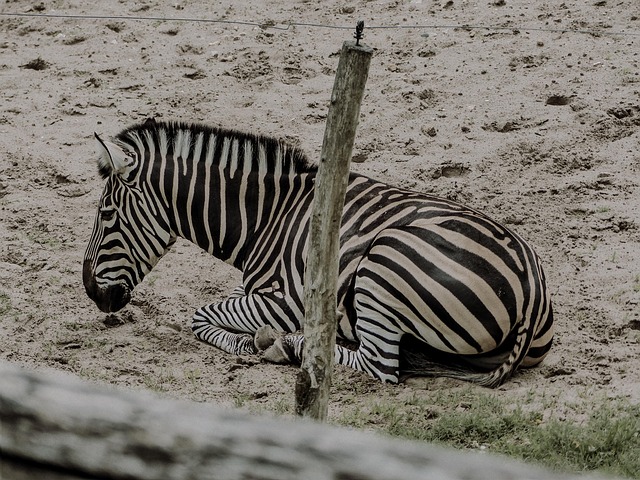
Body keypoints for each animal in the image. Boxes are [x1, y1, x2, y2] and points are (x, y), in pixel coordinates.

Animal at [83, 118, 554, 387]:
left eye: (106, 214)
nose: (90, 291)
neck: (270, 217)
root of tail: (532, 288)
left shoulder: (286, 301)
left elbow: (199, 315)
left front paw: (250, 342)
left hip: (383, 265)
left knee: (381, 365)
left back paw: (288, 345)